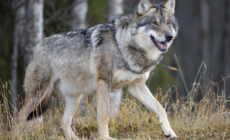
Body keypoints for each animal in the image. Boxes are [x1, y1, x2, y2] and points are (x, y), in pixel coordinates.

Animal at [18, 0, 179, 139]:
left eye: (168, 23)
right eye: (154, 23)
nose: (169, 37)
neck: (122, 45)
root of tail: (39, 45)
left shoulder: (137, 87)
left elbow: (160, 108)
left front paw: (169, 131)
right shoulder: (104, 82)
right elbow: (104, 115)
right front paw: (106, 138)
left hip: (75, 98)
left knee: (63, 123)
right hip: (38, 94)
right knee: (20, 117)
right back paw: (17, 135)